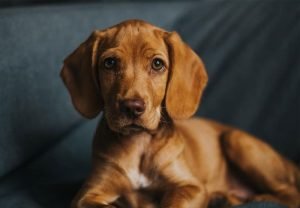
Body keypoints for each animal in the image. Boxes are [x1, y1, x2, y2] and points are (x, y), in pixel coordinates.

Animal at [60, 18, 300, 207]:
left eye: (157, 64)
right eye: (109, 63)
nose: (132, 107)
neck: (139, 143)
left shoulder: (190, 186)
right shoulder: (88, 195)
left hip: (236, 139)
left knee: (290, 193)